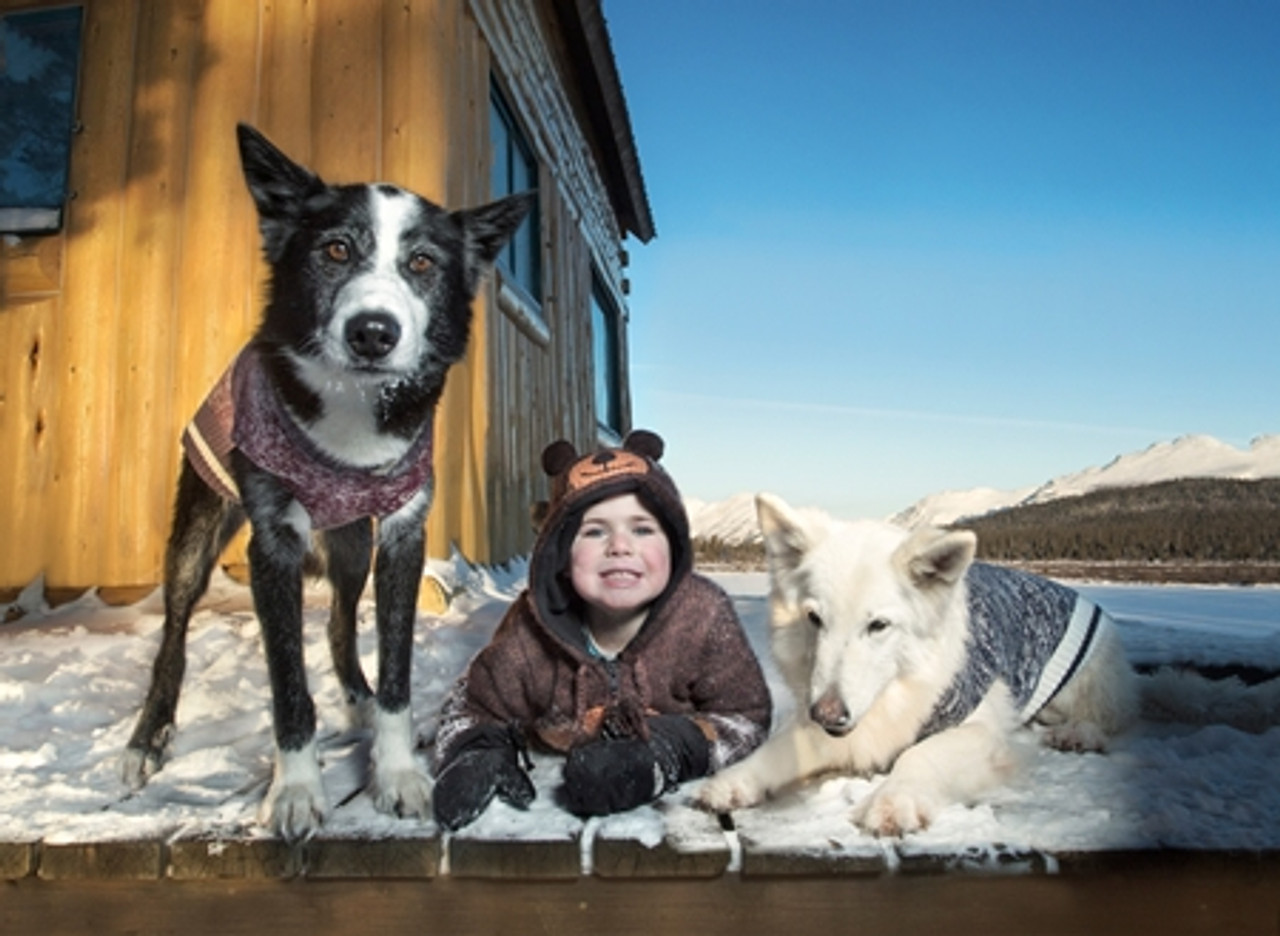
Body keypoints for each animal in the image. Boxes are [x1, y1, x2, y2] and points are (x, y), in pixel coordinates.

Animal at [123, 126, 529, 839]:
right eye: (336, 249)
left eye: (422, 263)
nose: (372, 332)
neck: (354, 412)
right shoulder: (273, 544)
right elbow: (288, 684)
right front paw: (295, 791)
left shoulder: (401, 536)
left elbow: (396, 669)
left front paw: (396, 775)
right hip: (199, 527)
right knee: (174, 631)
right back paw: (148, 739)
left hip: (352, 546)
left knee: (341, 623)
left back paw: (357, 701)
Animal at [701, 494, 1141, 839]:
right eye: (814, 618)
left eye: (878, 625)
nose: (827, 714)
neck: (897, 690)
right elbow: (778, 749)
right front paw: (737, 778)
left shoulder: (977, 731)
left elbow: (921, 753)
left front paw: (894, 799)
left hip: (1086, 684)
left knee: (1108, 714)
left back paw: (1078, 733)